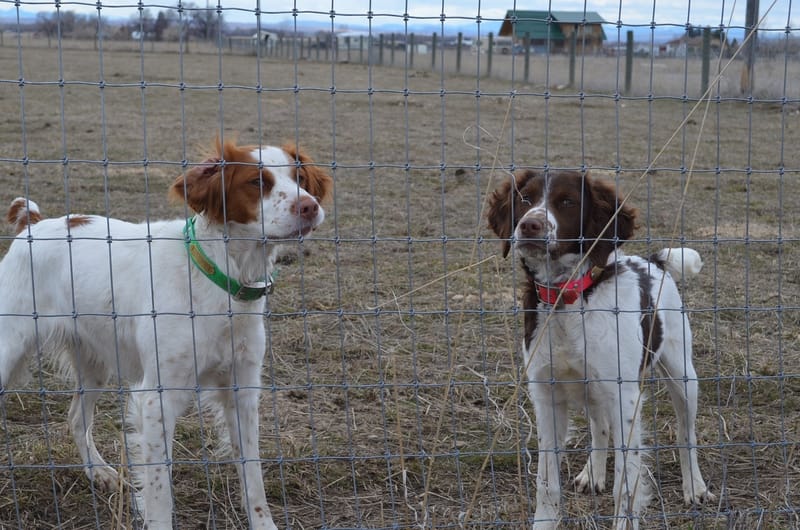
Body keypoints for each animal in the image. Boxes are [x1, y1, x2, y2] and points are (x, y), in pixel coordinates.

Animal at [0, 137, 332, 528]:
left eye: (300, 179)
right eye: (256, 182)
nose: (309, 206)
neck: (219, 275)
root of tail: (32, 225)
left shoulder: (242, 389)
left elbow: (253, 476)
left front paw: (263, 523)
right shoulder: (158, 397)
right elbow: (160, 488)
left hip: (94, 362)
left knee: (77, 419)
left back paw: (99, 472)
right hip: (8, 349)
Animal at [484, 169, 708, 528]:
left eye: (567, 202)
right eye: (525, 199)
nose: (530, 225)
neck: (568, 298)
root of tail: (652, 260)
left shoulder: (624, 396)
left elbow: (626, 485)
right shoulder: (546, 396)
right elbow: (547, 482)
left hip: (683, 377)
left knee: (687, 435)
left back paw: (695, 486)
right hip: (593, 390)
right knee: (599, 428)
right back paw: (593, 473)